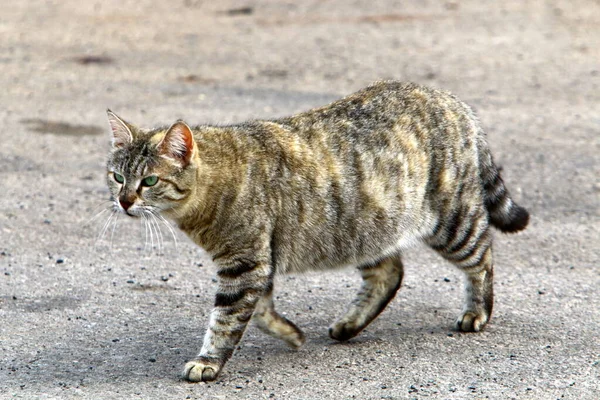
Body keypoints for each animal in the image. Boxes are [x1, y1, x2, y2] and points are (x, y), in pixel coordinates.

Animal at [105, 80, 528, 382]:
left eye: (149, 181)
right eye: (117, 177)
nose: (123, 201)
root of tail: (450, 98)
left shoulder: (245, 261)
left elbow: (226, 318)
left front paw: (208, 361)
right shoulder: (257, 259)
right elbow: (261, 311)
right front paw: (291, 334)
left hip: (452, 220)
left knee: (483, 255)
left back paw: (477, 311)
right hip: (365, 229)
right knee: (389, 273)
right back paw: (350, 324)